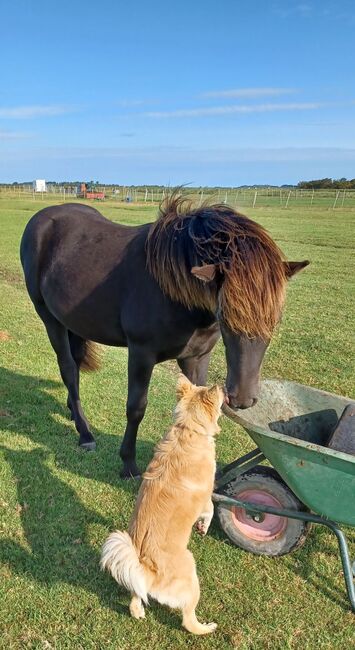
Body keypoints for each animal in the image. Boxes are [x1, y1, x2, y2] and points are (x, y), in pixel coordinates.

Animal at [20, 194, 308, 476]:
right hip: (49, 317)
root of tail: (42, 217)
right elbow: (136, 408)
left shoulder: (197, 357)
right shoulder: (141, 354)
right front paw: (128, 464)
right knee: (68, 367)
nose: (243, 399)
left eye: (275, 320)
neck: (174, 292)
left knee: (76, 364)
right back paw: (85, 433)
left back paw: (73, 411)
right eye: (226, 316)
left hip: (74, 321)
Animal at [100, 374, 224, 632]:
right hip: (191, 573)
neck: (188, 429)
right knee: (188, 620)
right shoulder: (206, 496)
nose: (222, 386)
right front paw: (203, 526)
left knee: (137, 595)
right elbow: (210, 509)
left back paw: (137, 610)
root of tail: (148, 570)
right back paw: (206, 627)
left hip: (139, 581)